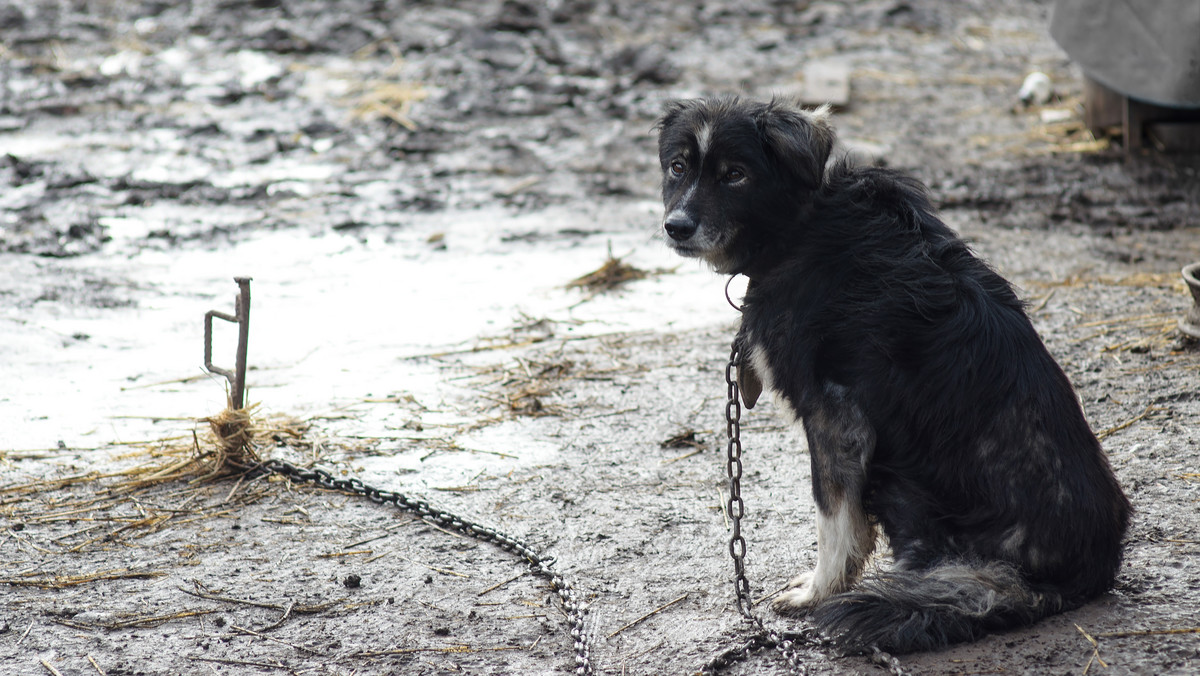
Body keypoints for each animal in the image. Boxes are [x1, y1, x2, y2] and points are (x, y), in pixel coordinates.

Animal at [657, 96, 1132, 657]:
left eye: (735, 174)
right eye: (678, 167)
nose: (676, 226)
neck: (800, 224)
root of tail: (1081, 575)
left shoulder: (836, 417)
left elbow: (835, 519)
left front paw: (819, 592)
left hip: (902, 479)